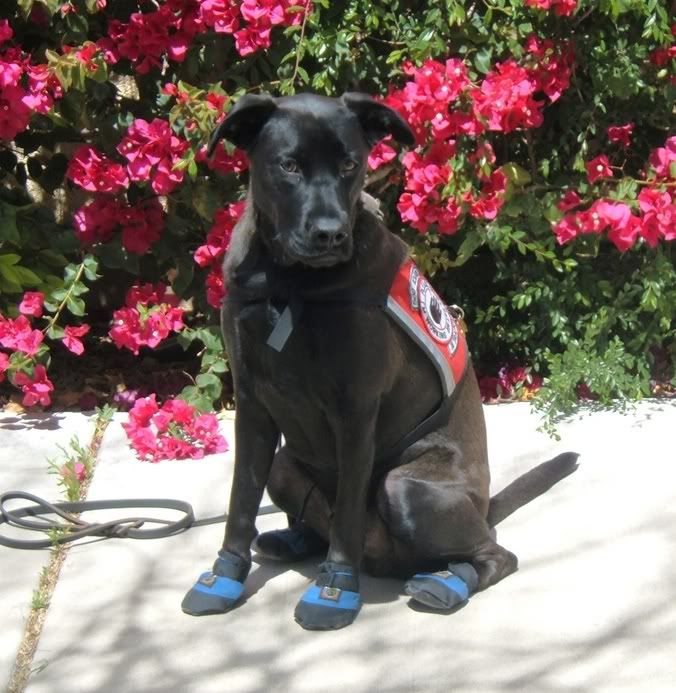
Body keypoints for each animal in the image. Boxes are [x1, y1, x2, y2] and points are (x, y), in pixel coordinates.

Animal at [182, 94, 580, 628]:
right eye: (289, 166)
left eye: (350, 164)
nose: (330, 234)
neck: (291, 282)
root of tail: (483, 507)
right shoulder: (251, 402)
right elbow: (240, 502)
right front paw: (223, 576)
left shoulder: (354, 410)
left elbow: (348, 513)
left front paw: (334, 590)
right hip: (286, 464)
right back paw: (294, 538)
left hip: (405, 488)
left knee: (495, 553)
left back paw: (448, 582)